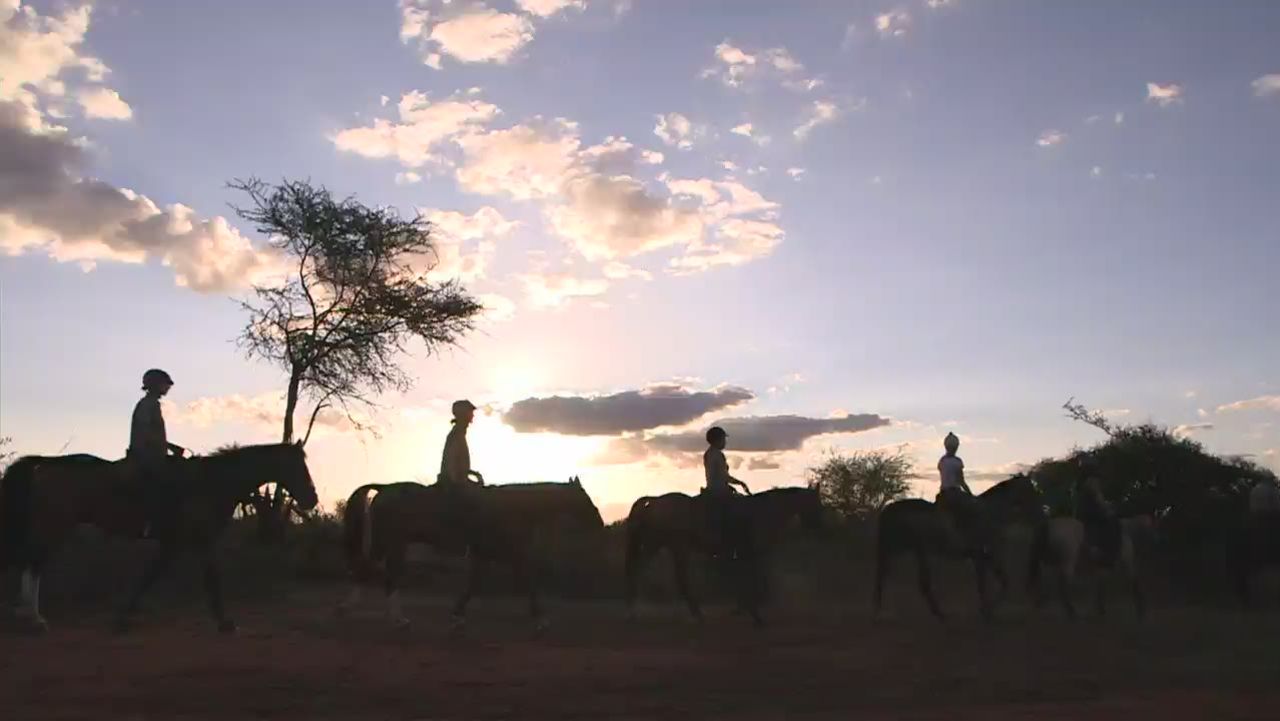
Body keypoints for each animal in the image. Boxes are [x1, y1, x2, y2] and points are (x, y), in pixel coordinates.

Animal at [0, 443, 317, 635]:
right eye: (297, 467)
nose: (312, 499)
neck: (211, 482)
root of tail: (46, 465)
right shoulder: (195, 540)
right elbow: (205, 578)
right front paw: (225, 623)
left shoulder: (179, 543)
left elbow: (154, 575)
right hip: (55, 525)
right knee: (34, 563)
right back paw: (34, 618)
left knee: (30, 562)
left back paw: (25, 613)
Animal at [335, 478, 604, 632]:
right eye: (584, 497)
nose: (600, 523)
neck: (514, 508)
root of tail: (384, 488)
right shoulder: (509, 554)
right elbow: (526, 581)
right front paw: (541, 618)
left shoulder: (487, 555)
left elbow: (475, 584)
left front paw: (457, 614)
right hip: (393, 543)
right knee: (384, 575)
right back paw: (393, 618)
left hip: (388, 543)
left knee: (372, 572)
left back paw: (360, 611)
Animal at [624, 489, 824, 630]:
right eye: (817, 504)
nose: (818, 526)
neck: (761, 511)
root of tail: (654, 501)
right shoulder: (750, 554)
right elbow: (752, 581)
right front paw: (755, 614)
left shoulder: (743, 556)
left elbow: (744, 580)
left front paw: (742, 609)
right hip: (673, 546)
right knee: (649, 572)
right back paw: (635, 612)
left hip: (664, 545)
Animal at [875, 476, 1044, 622]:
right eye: (1031, 490)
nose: (1040, 509)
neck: (988, 513)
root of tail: (888, 509)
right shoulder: (980, 555)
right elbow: (985, 584)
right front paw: (986, 611)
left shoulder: (985, 556)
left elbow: (1003, 581)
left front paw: (987, 610)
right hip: (898, 548)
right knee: (884, 574)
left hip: (918, 551)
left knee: (919, 582)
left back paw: (938, 614)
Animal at [1024, 512, 1157, 619]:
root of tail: (1048, 524)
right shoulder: (1126, 564)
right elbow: (1134, 582)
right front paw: (1141, 610)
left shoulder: (1100, 569)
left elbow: (1099, 587)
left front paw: (1100, 609)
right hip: (1068, 561)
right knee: (1063, 585)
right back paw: (1071, 612)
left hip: (1048, 563)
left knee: (1045, 583)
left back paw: (1041, 603)